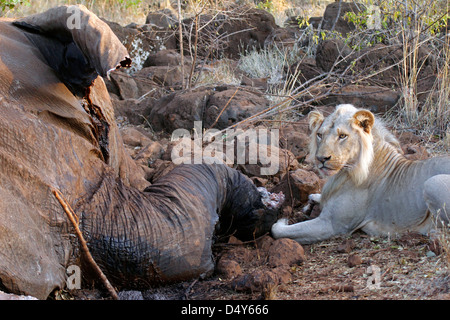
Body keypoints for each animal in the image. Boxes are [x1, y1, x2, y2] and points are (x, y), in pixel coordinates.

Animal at [270, 104, 450, 244]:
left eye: (342, 136)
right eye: (320, 135)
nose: (321, 159)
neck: (343, 173)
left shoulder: (332, 225)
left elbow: (277, 230)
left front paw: (283, 219)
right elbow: (315, 196)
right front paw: (311, 202)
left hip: (431, 183)